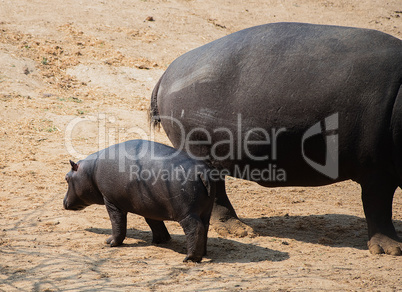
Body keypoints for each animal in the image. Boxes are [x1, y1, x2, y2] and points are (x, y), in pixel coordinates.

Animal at [63, 139, 214, 262]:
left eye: (66, 178)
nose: (63, 202)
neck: (90, 171)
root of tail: (201, 171)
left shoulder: (112, 202)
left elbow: (117, 223)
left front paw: (110, 242)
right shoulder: (150, 207)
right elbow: (154, 222)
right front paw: (160, 241)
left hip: (187, 213)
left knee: (195, 228)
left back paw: (190, 258)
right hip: (205, 212)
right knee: (204, 228)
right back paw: (204, 254)